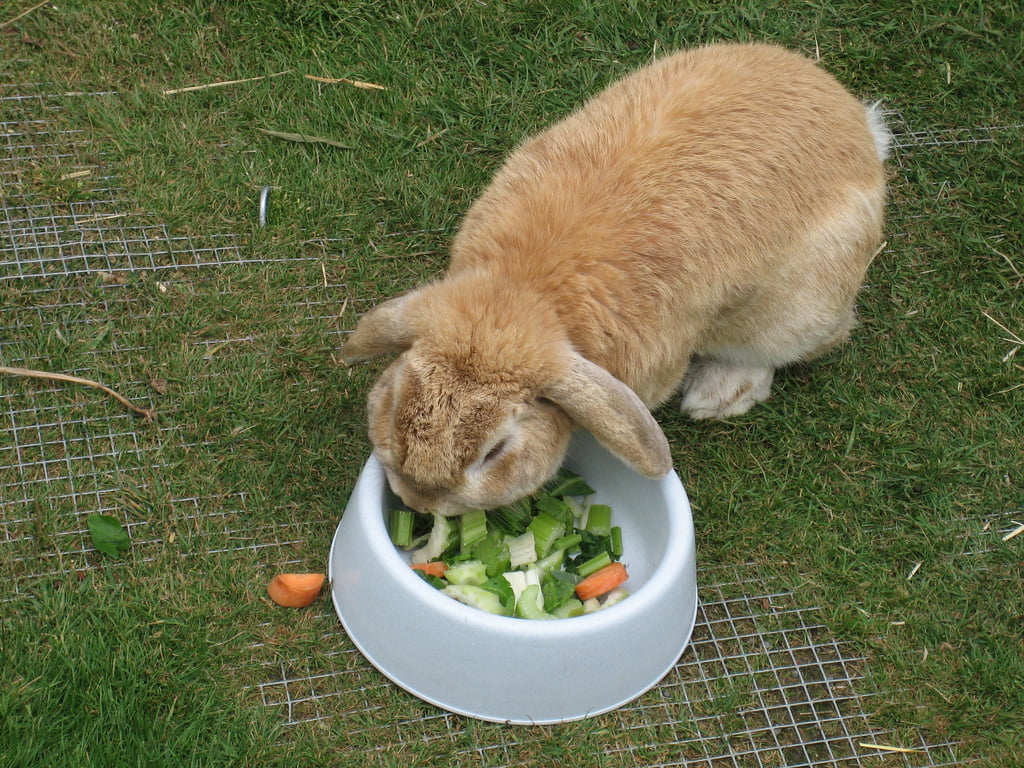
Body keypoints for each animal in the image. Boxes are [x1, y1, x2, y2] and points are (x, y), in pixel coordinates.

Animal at [341, 42, 891, 516]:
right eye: (394, 405)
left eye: (495, 452)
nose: (418, 502)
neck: (525, 291)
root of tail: (863, 129)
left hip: (799, 308)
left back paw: (718, 394)